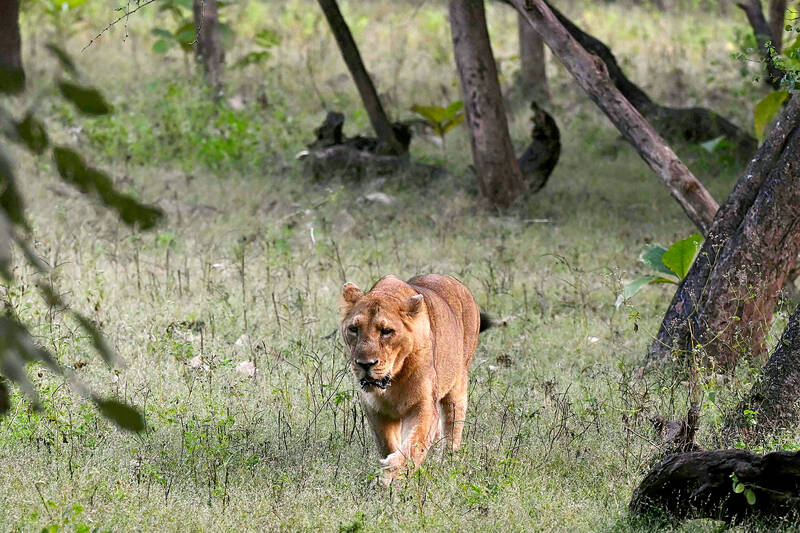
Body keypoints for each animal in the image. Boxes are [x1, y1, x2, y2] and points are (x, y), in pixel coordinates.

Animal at [339, 274, 491, 484]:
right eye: (354, 329)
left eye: (386, 331)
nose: (365, 364)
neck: (392, 381)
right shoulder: (375, 409)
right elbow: (387, 443)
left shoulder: (424, 405)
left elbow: (414, 445)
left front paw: (393, 475)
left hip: (457, 389)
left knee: (452, 430)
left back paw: (448, 463)